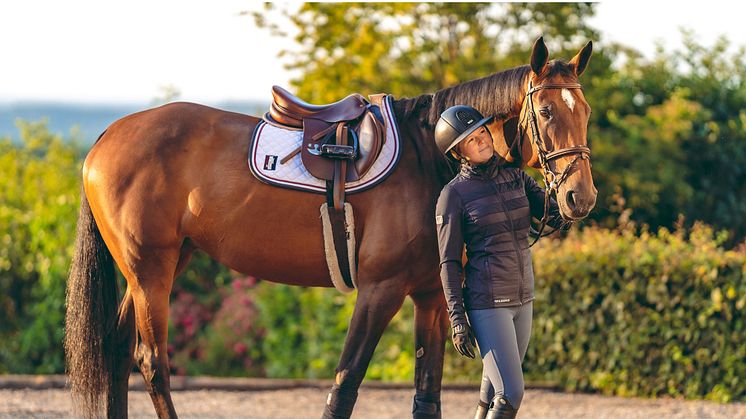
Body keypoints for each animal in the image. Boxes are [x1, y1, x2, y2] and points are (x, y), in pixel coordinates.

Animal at [67, 37, 596, 418]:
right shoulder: (380, 290)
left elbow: (426, 397)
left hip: (163, 264)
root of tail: (109, 135)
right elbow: (343, 388)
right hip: (150, 270)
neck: (428, 157)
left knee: (117, 350)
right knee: (152, 362)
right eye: (546, 111)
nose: (580, 197)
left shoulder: (431, 297)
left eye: (585, 112)